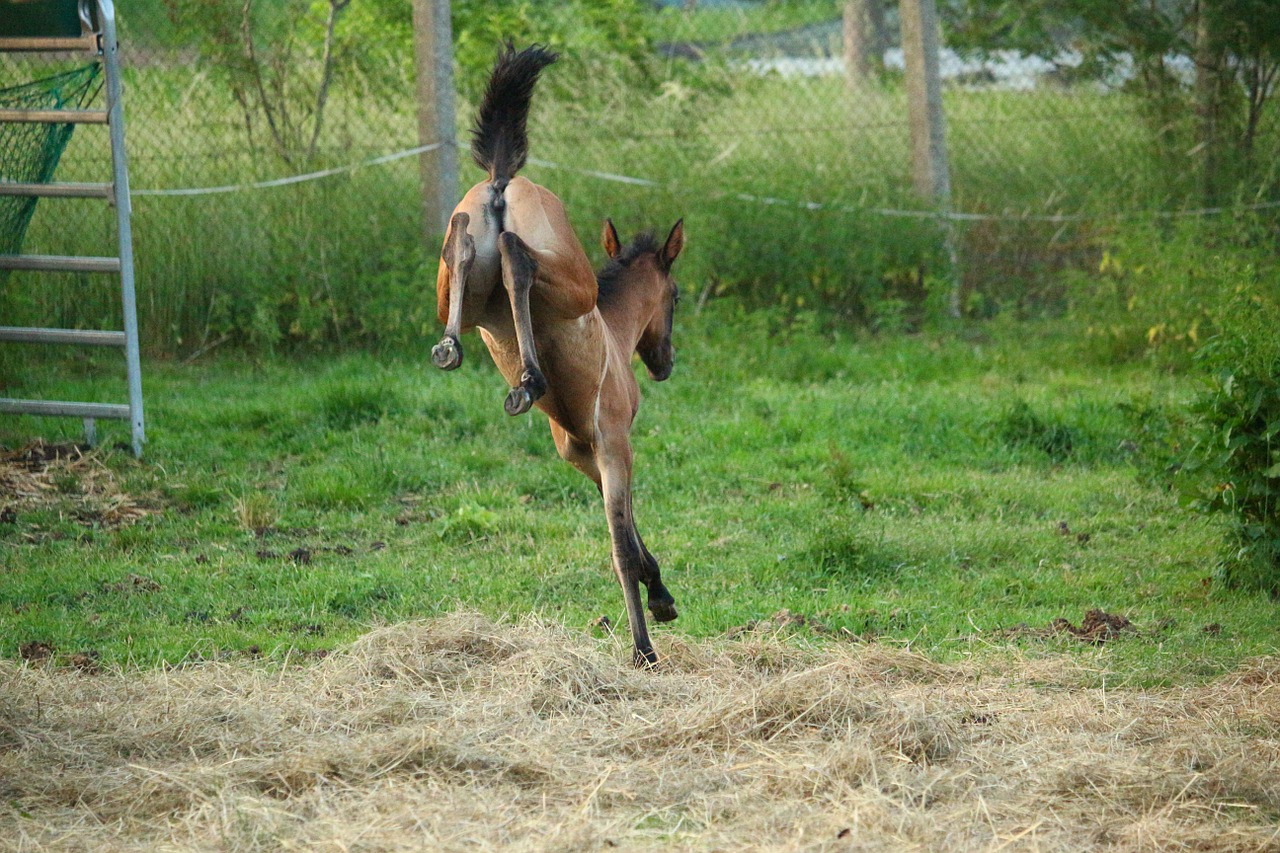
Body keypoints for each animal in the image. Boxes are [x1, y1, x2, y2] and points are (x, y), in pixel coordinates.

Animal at [430, 41, 686, 666]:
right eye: (676, 296)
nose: (664, 362)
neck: (615, 332)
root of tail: (501, 181)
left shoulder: (582, 453)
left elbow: (625, 532)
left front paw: (659, 596)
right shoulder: (611, 444)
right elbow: (623, 543)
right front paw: (651, 625)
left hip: (458, 285)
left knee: (464, 244)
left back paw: (461, 351)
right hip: (571, 277)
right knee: (518, 258)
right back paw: (529, 377)